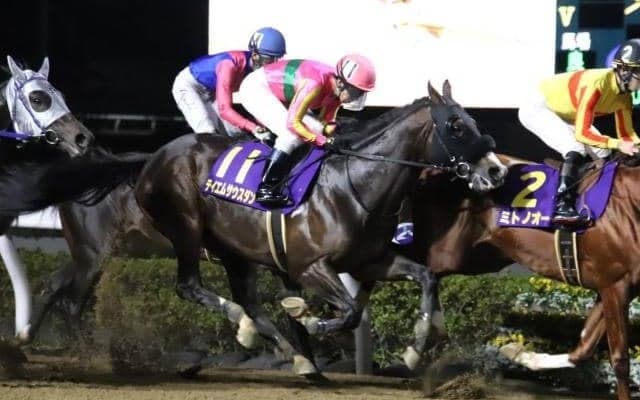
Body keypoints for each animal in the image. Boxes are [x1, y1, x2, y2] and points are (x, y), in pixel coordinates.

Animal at [132, 81, 508, 377]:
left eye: (472, 121)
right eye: (456, 126)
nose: (497, 171)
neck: (353, 186)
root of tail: (154, 158)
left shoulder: (369, 262)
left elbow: (427, 277)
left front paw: (416, 350)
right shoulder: (309, 266)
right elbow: (352, 311)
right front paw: (311, 319)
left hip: (234, 249)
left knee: (250, 303)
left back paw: (296, 357)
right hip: (186, 228)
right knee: (190, 286)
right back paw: (250, 329)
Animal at [408, 153, 640, 400]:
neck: (631, 203)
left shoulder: (616, 288)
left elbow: (583, 348)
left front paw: (520, 355)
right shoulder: (614, 285)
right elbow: (620, 361)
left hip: (475, 257)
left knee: (430, 275)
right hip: (446, 250)